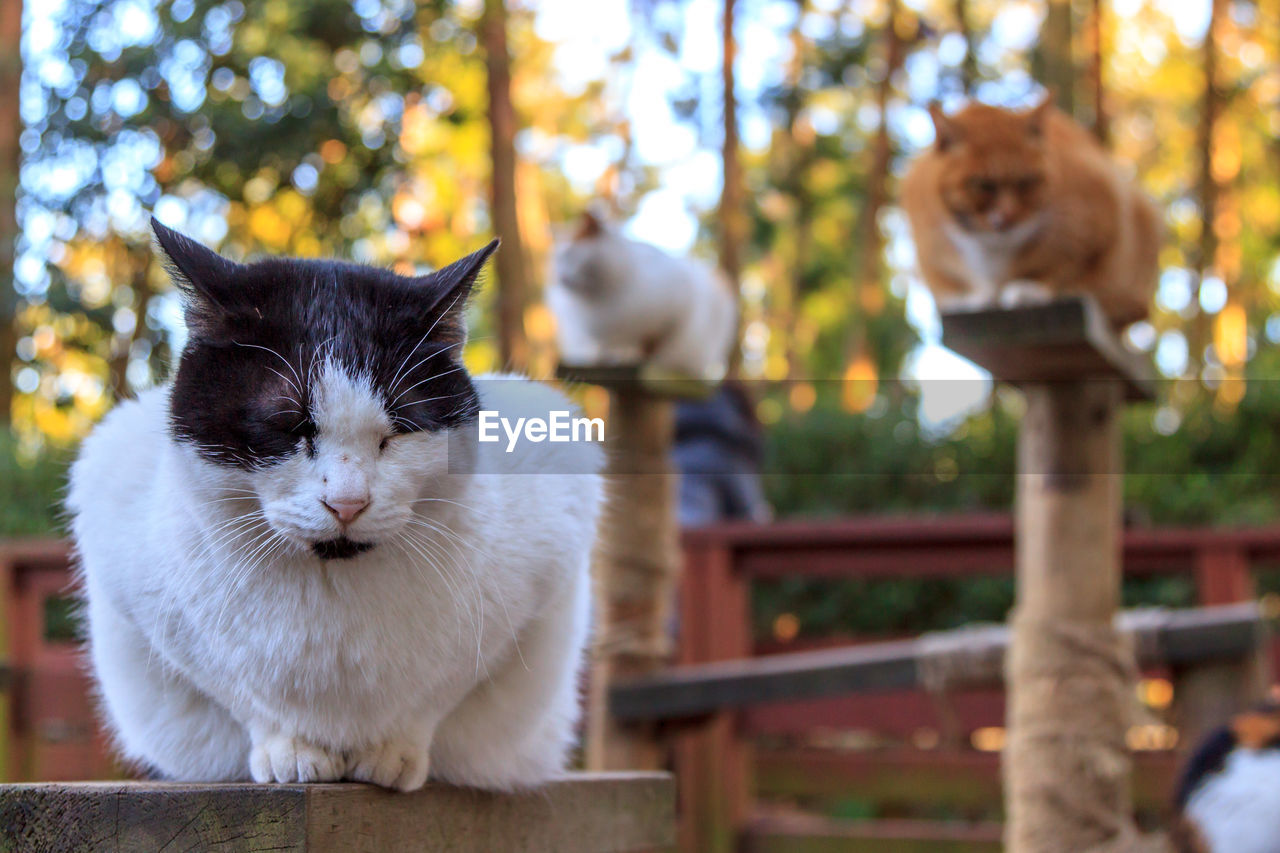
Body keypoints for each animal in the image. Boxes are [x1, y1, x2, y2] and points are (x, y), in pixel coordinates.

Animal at [60, 220, 599, 788]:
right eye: (287, 427)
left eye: (398, 431)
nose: (347, 502)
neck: (333, 589)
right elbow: (241, 694)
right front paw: (290, 748)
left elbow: (438, 694)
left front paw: (393, 751)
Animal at [550, 206, 742, 379]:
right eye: (556, 260)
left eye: (570, 254)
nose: (560, 277)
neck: (596, 297)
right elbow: (601, 349)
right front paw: (600, 360)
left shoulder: (673, 309)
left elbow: (651, 342)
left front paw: (644, 358)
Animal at [901, 92, 1162, 325]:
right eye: (982, 185)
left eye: (1027, 182)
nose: (1007, 216)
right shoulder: (927, 242)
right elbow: (948, 286)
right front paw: (971, 298)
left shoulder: (1099, 209)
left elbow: (1068, 268)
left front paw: (1030, 288)